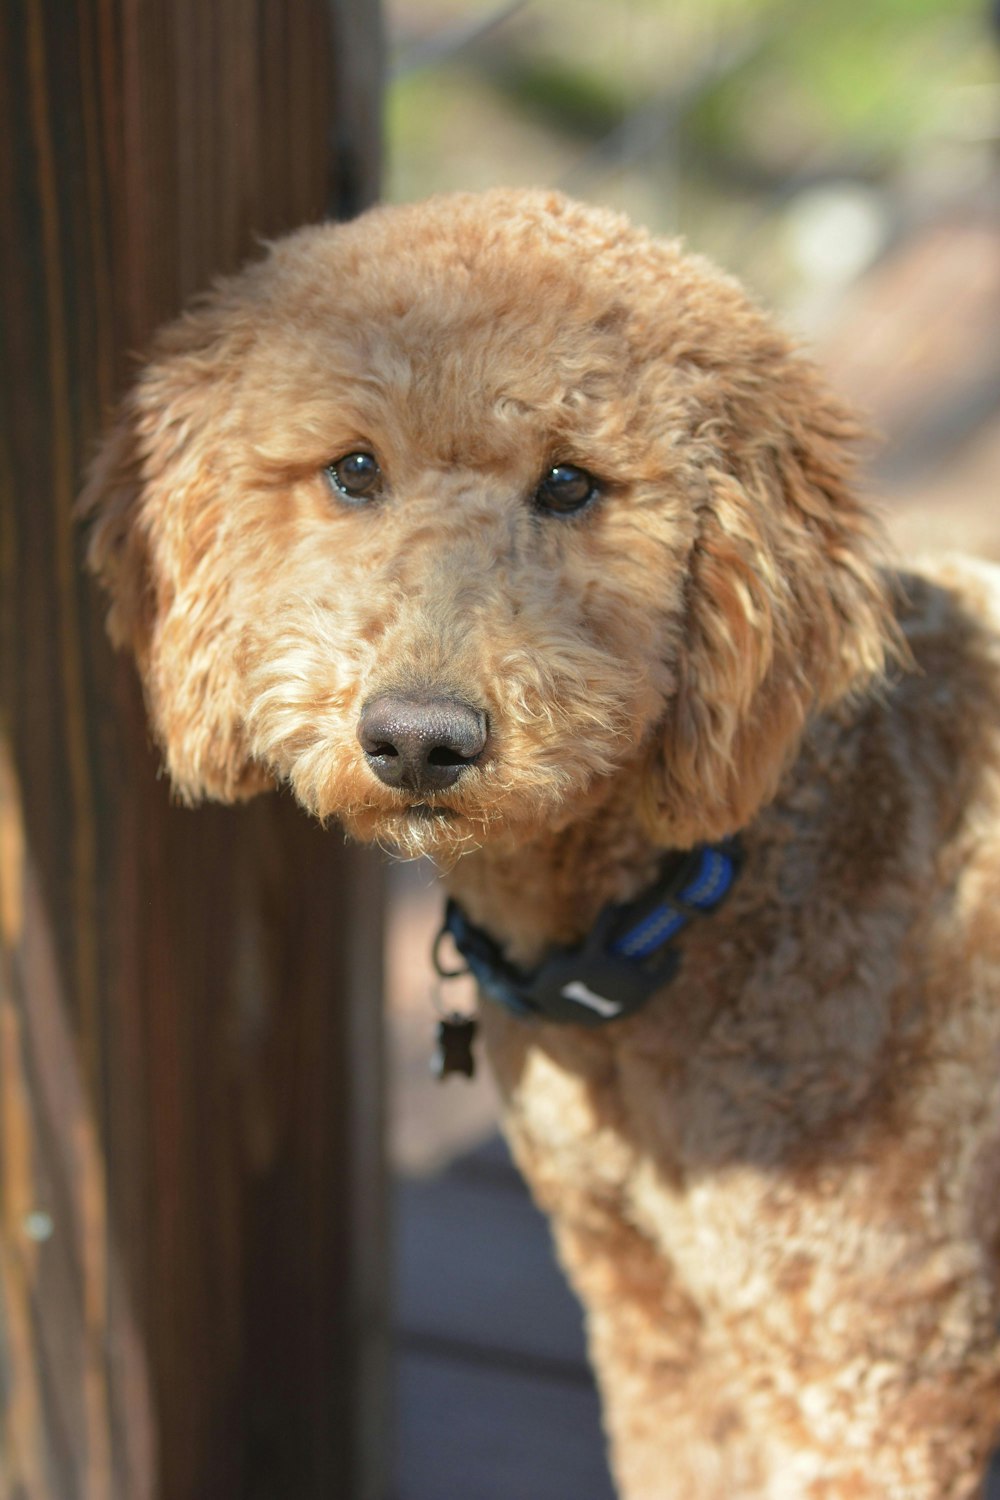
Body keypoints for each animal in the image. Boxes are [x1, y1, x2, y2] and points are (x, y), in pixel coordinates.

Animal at [82, 193, 1000, 1494]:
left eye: (570, 484)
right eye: (353, 469)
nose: (420, 739)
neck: (681, 905)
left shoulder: (872, 1368)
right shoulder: (648, 1319)